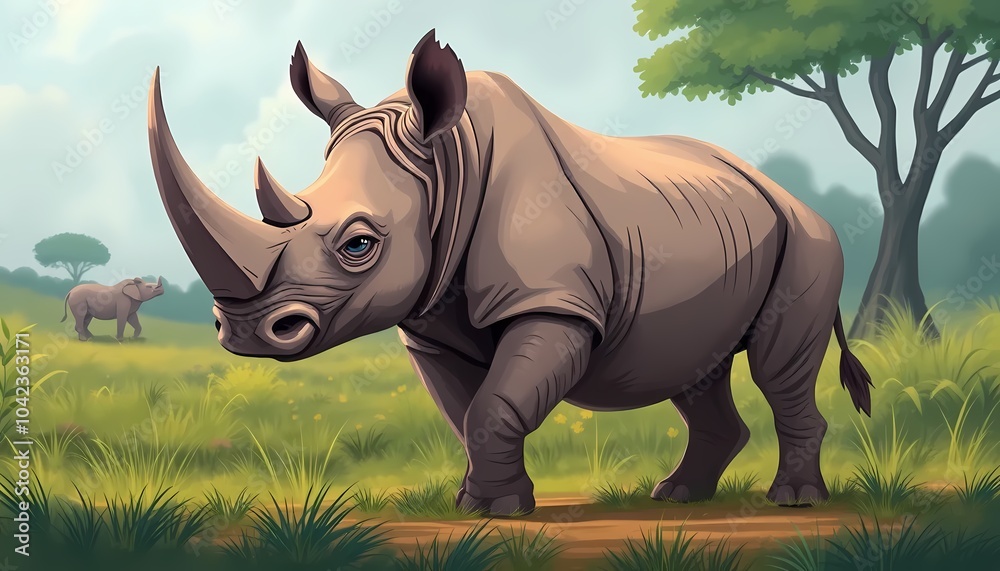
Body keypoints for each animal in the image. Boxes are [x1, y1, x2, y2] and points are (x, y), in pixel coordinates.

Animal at [147, 30, 872, 516]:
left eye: (359, 244)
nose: (243, 331)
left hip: (808, 242)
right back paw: (678, 497)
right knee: (696, 368)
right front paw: (482, 504)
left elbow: (495, 403)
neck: (448, 166)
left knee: (778, 368)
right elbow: (467, 410)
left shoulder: (554, 302)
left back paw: (794, 500)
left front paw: (496, 510)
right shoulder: (429, 324)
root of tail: (786, 194)